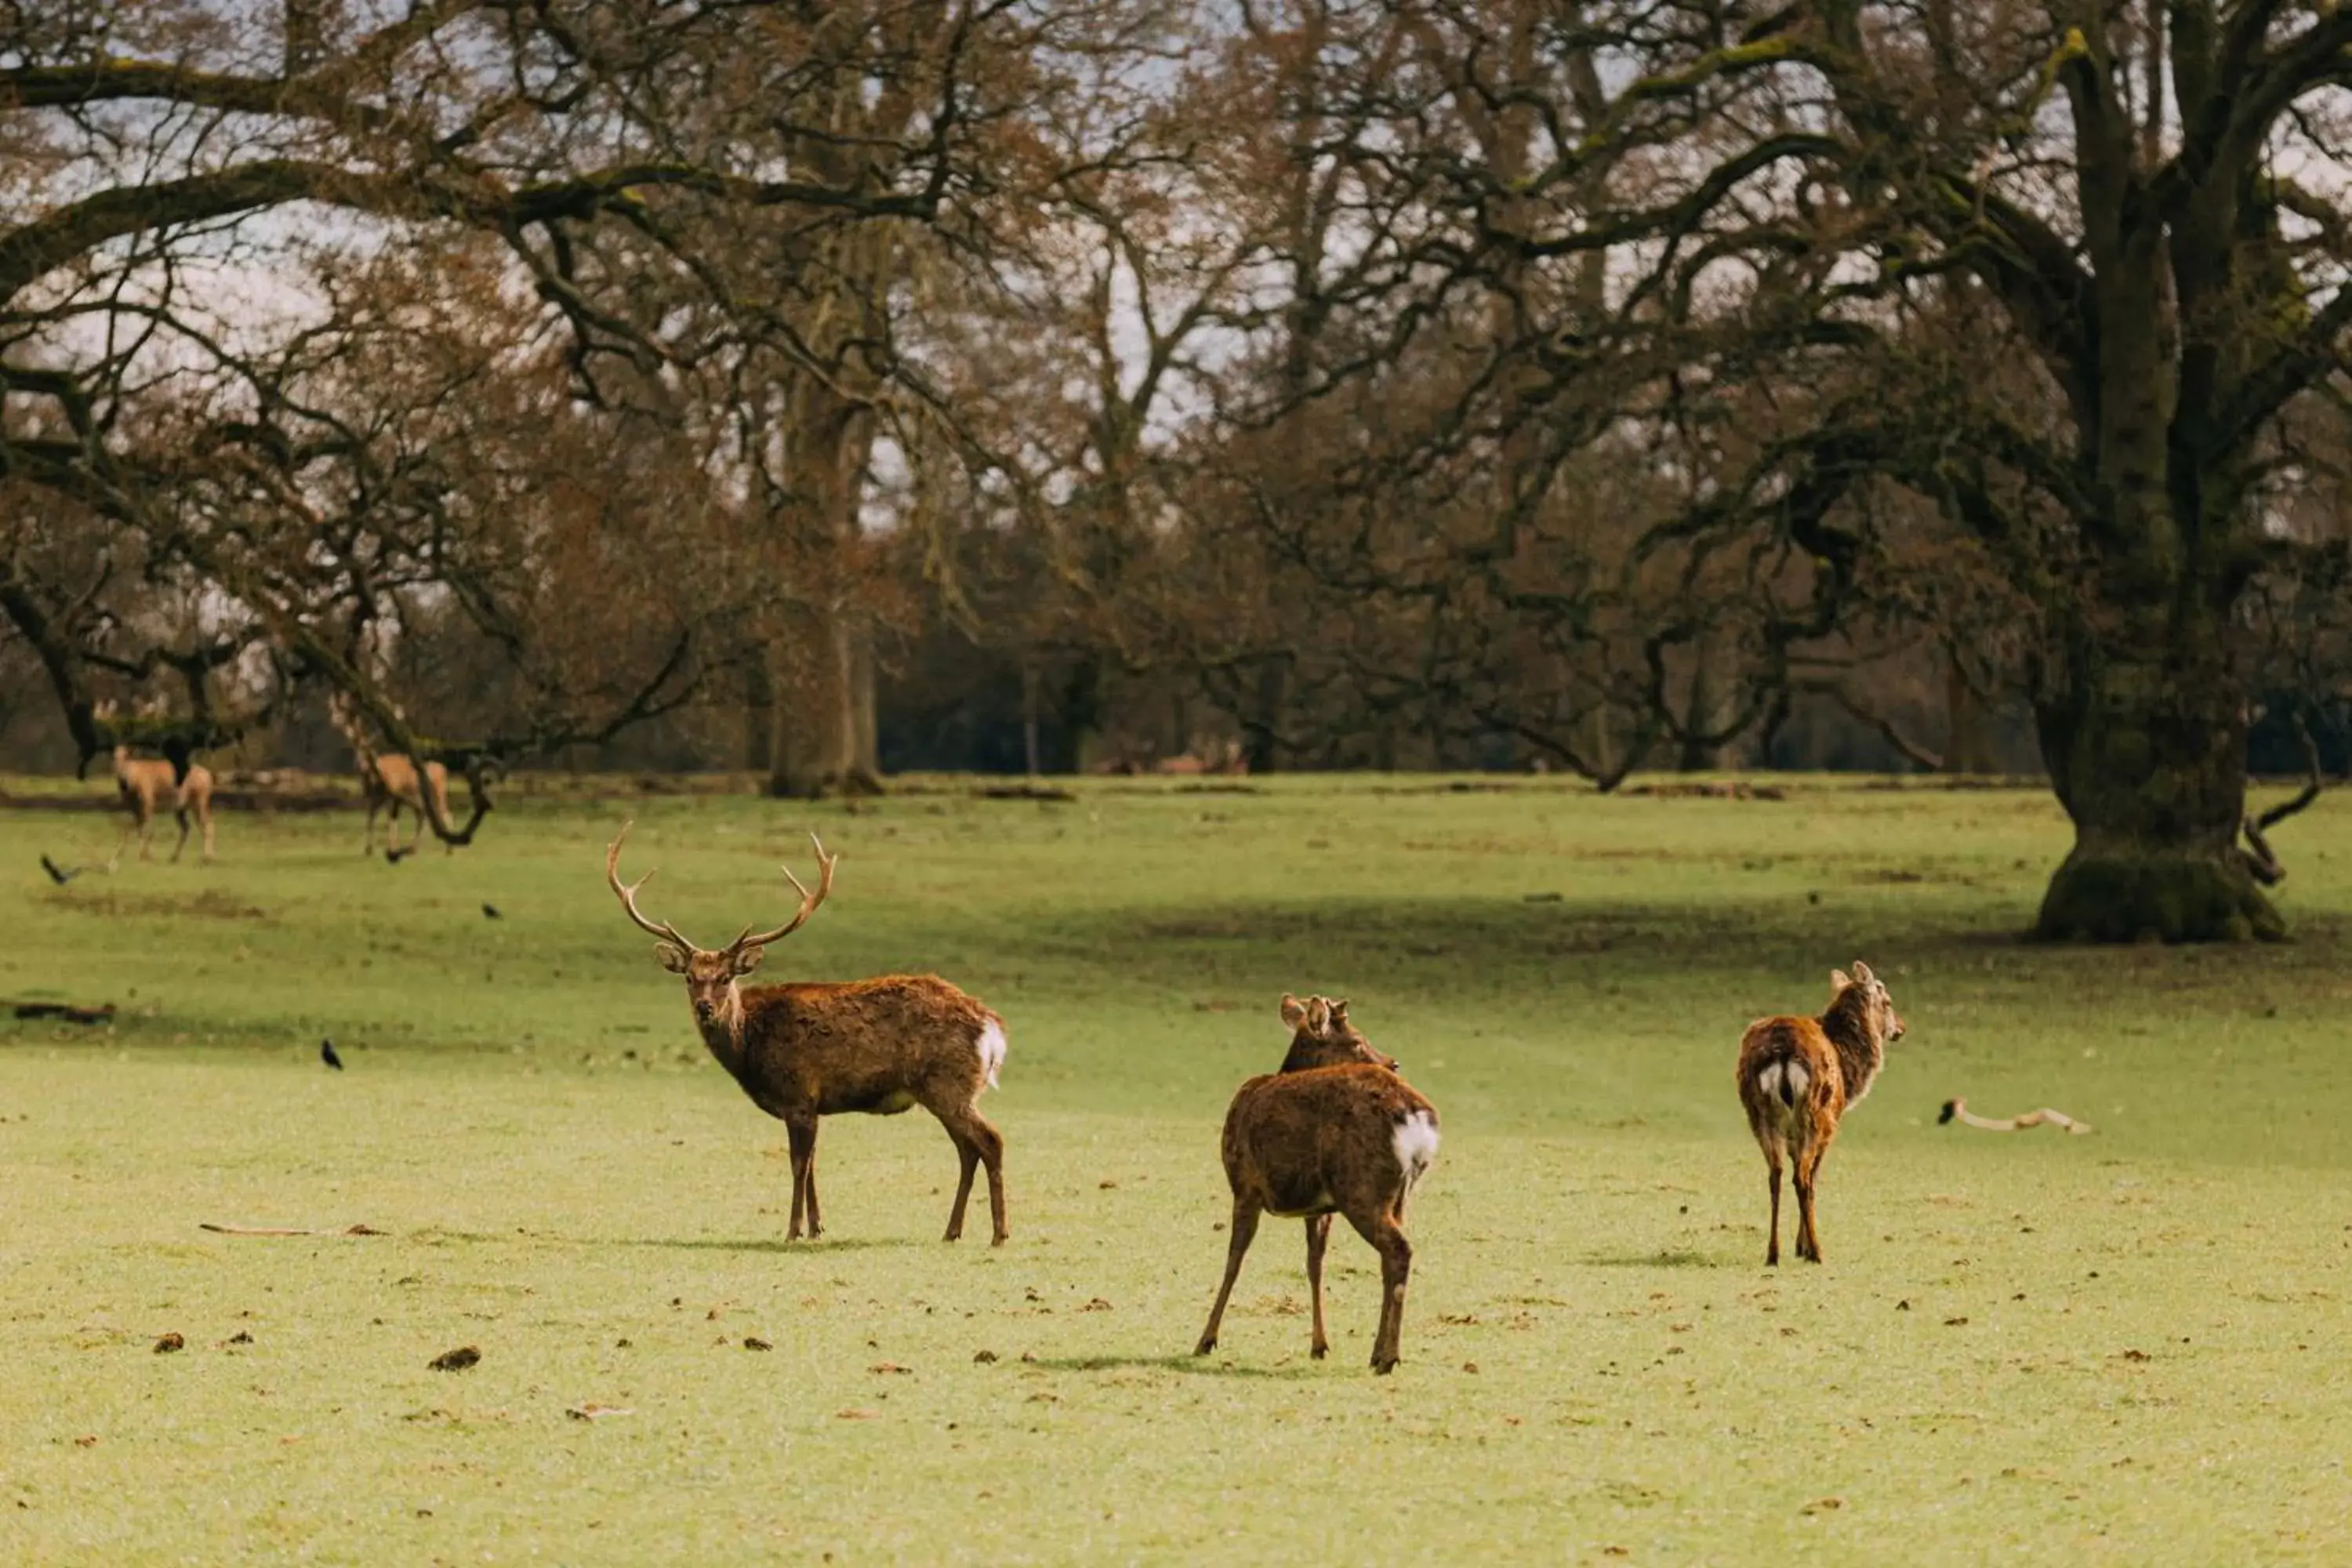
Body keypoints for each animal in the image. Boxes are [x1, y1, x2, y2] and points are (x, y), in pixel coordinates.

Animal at [100, 700, 217, 869]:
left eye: (127, 756)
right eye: (114, 757)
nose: (121, 776)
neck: (132, 785)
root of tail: (209, 775)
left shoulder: (148, 799)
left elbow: (146, 829)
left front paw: (143, 856)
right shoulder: (132, 805)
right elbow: (134, 829)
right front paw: (126, 856)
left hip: (200, 798)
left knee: (208, 825)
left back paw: (208, 858)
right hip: (181, 806)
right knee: (187, 827)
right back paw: (174, 857)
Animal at [334, 691, 456, 860]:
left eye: (367, 751)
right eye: (356, 750)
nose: (359, 765)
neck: (376, 780)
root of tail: (443, 770)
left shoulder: (394, 795)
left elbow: (391, 822)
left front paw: (392, 848)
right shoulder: (374, 798)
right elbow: (371, 819)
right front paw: (368, 849)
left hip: (438, 792)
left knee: (444, 815)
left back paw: (448, 849)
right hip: (420, 798)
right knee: (425, 815)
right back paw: (417, 848)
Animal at [602, 827, 1007, 1241]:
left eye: (726, 977)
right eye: (689, 977)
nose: (705, 1007)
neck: (750, 1047)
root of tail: (991, 1027)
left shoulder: (798, 1095)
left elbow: (798, 1165)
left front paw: (793, 1230)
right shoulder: (812, 1105)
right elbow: (812, 1164)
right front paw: (817, 1227)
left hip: (948, 1085)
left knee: (990, 1141)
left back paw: (998, 1234)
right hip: (948, 1091)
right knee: (968, 1150)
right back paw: (952, 1231)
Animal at [1195, 992, 1430, 1373]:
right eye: (1356, 1040)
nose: (1393, 1063)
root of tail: (1418, 1120)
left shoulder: (1245, 1186)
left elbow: (1234, 1261)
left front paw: (1206, 1340)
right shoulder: (1319, 1208)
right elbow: (1315, 1266)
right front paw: (1320, 1345)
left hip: (1361, 1188)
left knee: (1399, 1250)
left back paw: (1388, 1357)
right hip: (1398, 1195)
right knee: (1388, 1257)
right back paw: (1377, 1353)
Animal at [1731, 964, 1910, 1269]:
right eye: (1887, 1001)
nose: (1901, 1028)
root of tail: (1783, 1053)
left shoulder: (1791, 1135)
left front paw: (1797, 1246)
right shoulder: (1831, 1125)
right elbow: (1814, 1179)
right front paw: (1803, 1247)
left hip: (1759, 1115)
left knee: (1775, 1175)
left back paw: (1773, 1253)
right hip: (1816, 1114)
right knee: (1802, 1180)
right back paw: (1817, 1251)